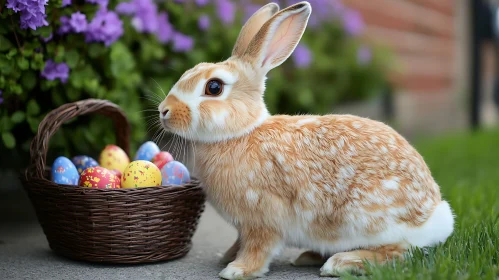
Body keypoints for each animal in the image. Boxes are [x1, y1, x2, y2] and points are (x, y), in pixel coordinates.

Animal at [158, 1, 456, 278]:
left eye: (214, 87)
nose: (164, 110)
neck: (241, 132)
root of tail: (436, 213)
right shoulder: (244, 226)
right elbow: (239, 241)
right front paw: (226, 257)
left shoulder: (263, 218)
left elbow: (258, 247)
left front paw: (237, 270)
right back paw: (308, 256)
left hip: (369, 221)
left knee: (400, 251)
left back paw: (341, 263)